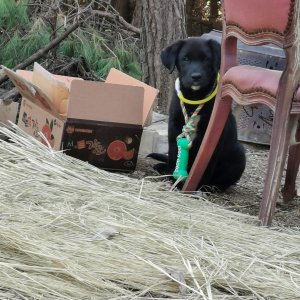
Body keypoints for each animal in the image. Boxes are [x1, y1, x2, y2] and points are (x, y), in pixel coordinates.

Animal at [150, 36, 246, 191]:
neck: (195, 99)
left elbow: (205, 164)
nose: (196, 76)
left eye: (206, 59)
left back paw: (210, 187)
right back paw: (162, 167)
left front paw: (196, 186)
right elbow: (174, 154)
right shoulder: (174, 127)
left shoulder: (212, 136)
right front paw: (173, 179)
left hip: (239, 153)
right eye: (185, 59)